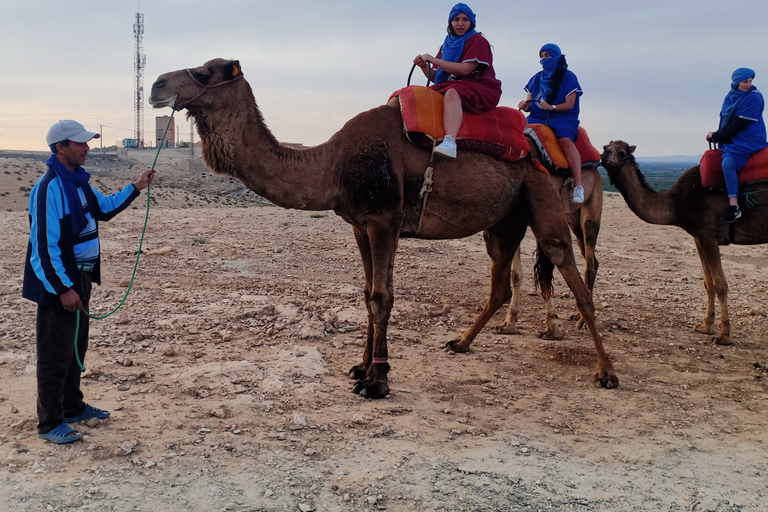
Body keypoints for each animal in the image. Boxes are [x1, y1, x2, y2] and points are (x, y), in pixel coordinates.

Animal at [496, 150, 604, 338]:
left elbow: (545, 272)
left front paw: (552, 328)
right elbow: (515, 275)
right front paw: (509, 324)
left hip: (591, 209)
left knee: (590, 263)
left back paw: (582, 321)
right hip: (573, 219)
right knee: (593, 260)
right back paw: (578, 316)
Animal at [604, 141, 764, 344]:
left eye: (623, 151)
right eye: (606, 146)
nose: (604, 153)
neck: (676, 204)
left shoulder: (708, 234)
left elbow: (720, 284)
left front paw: (724, 335)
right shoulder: (698, 236)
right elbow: (708, 283)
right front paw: (705, 326)